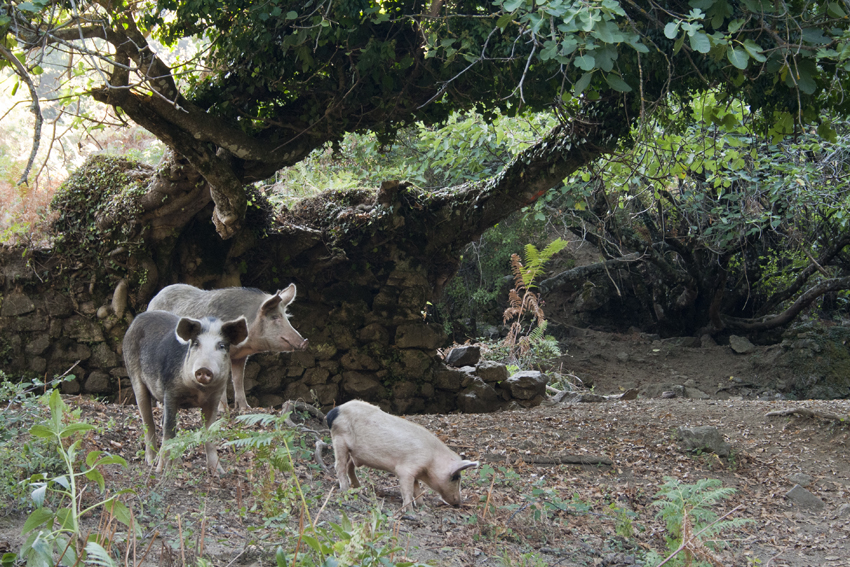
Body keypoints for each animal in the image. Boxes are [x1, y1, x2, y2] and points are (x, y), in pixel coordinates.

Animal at [122, 310, 248, 474]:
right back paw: (151, 462)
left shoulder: (214, 397)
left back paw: (177, 465)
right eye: (196, 344)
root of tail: (138, 318)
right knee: (148, 421)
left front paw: (219, 472)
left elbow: (209, 432)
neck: (199, 391)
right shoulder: (170, 392)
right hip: (134, 373)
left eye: (221, 345)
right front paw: (161, 470)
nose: (203, 369)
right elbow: (169, 430)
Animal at [149, 286, 308, 410]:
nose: (304, 342)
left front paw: (245, 409)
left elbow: (238, 379)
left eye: (287, 316)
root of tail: (153, 299)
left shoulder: (240, 356)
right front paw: (223, 410)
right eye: (274, 317)